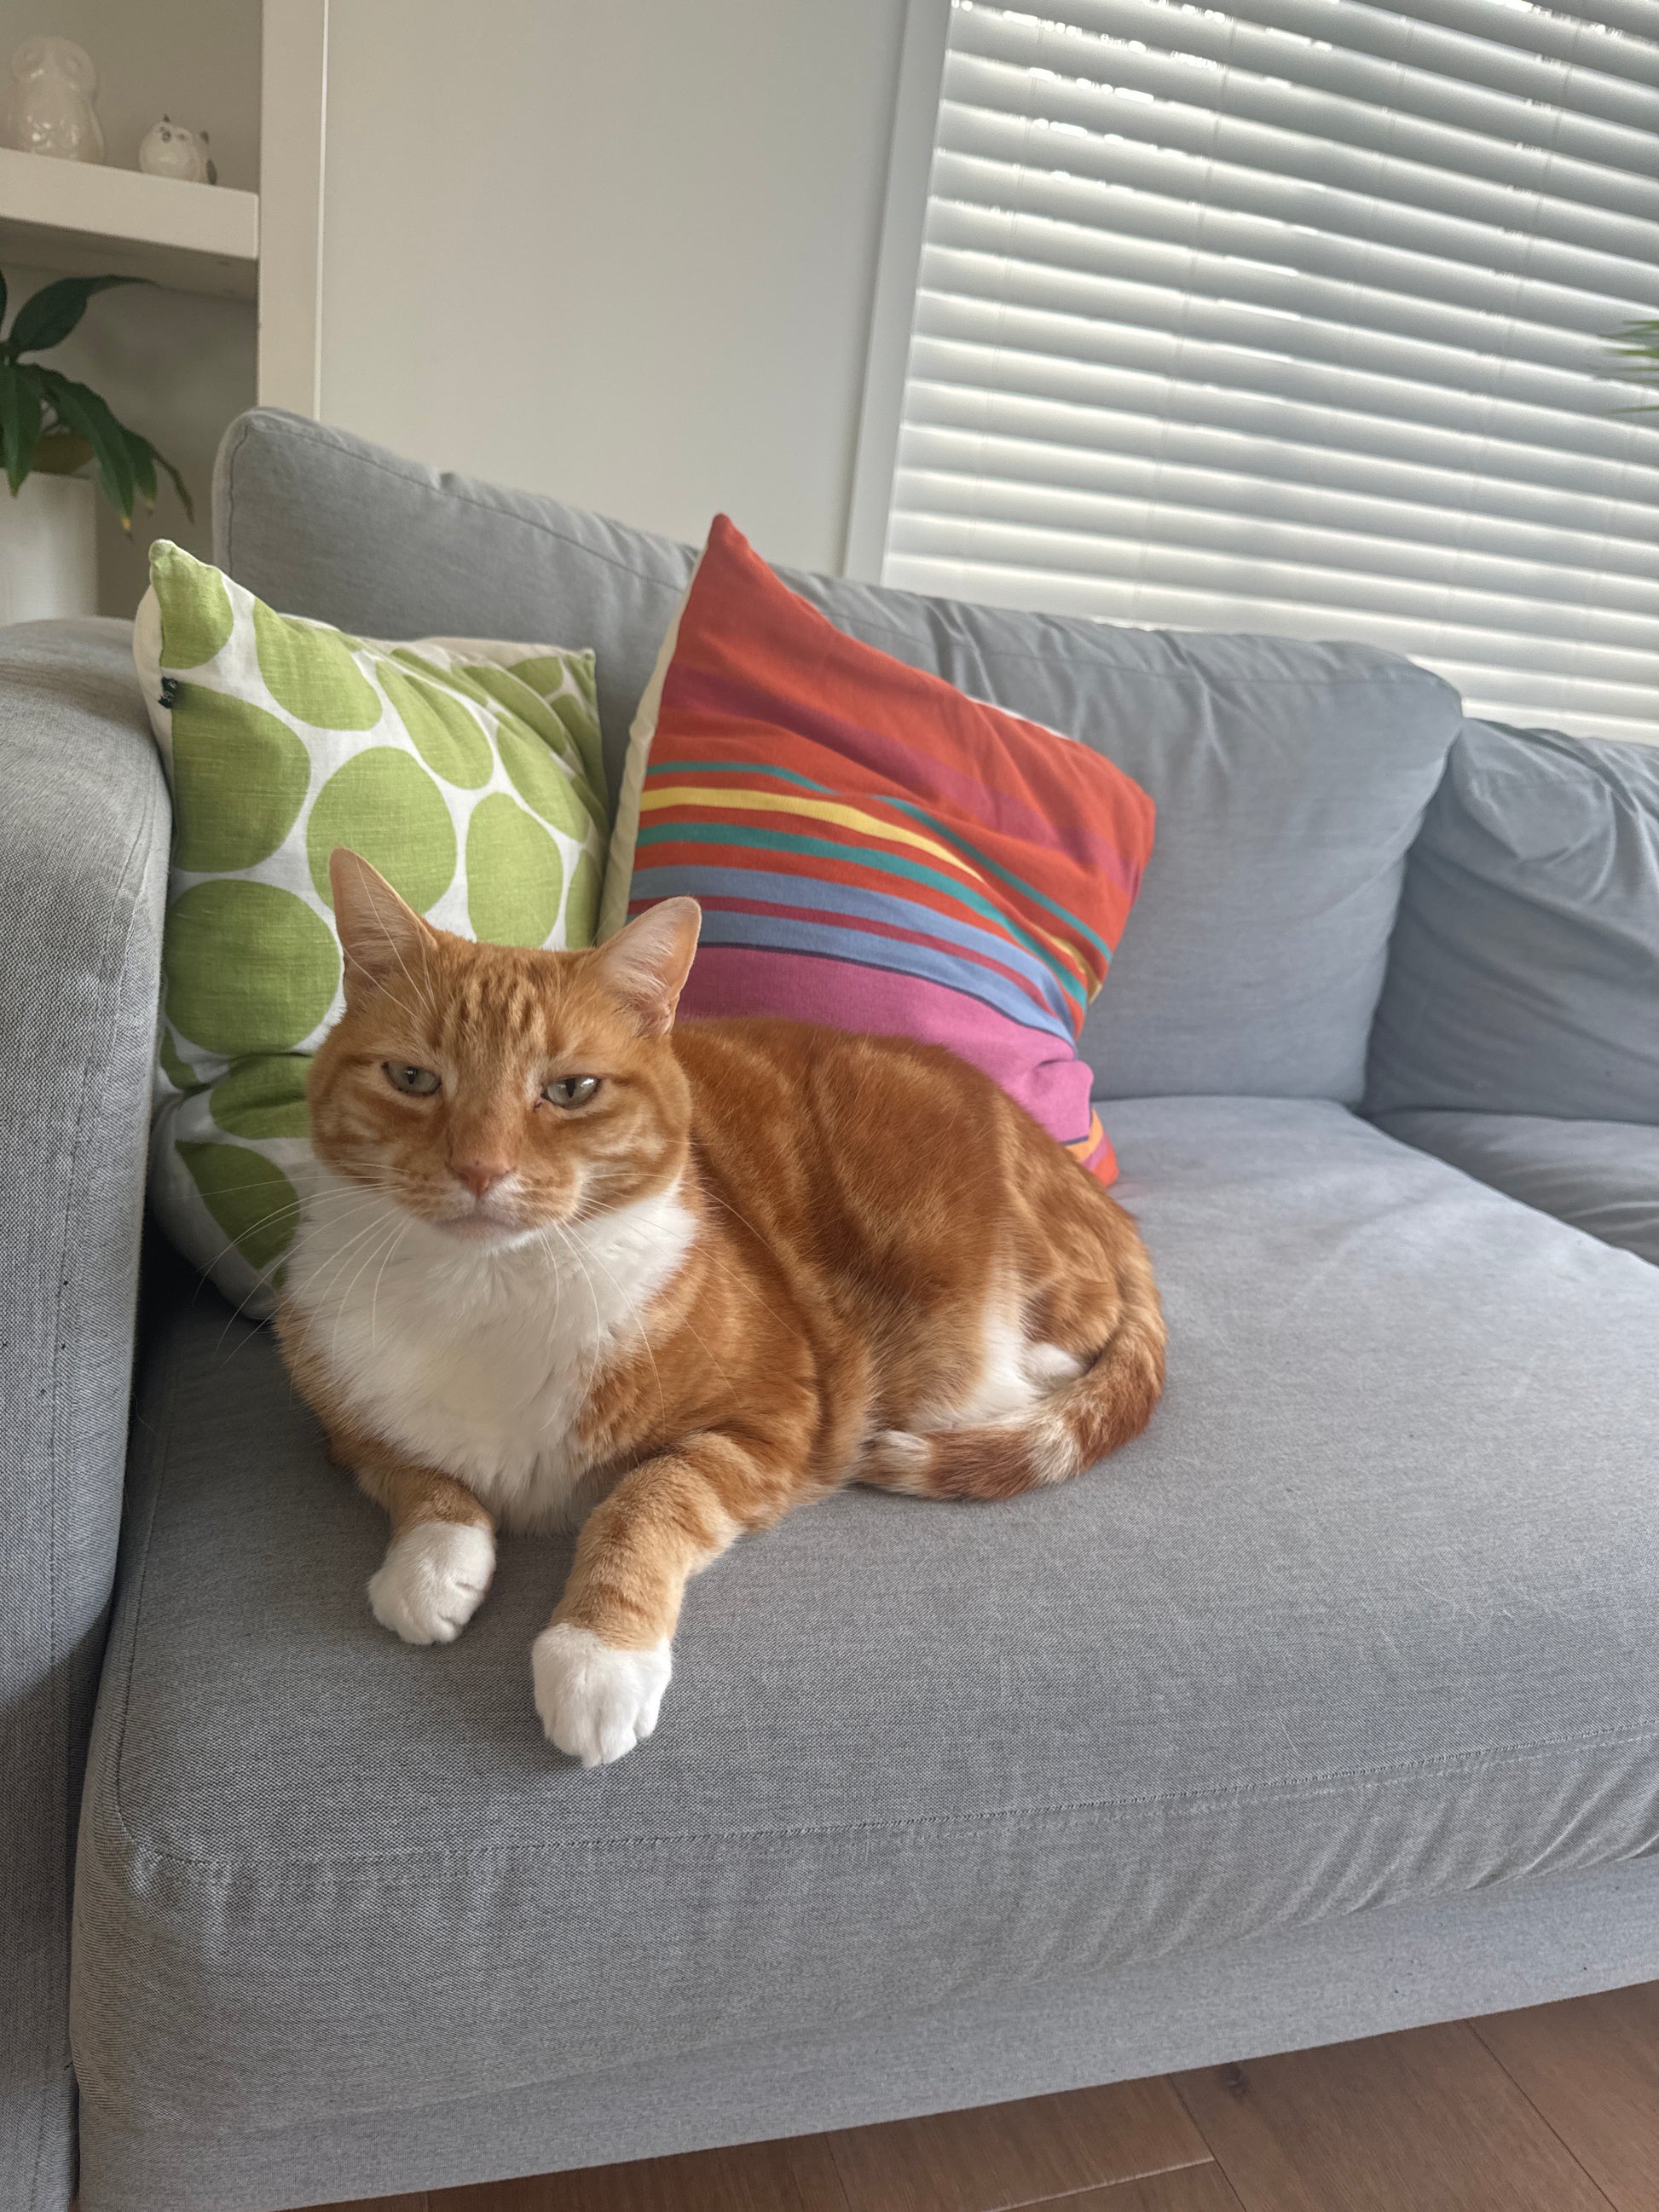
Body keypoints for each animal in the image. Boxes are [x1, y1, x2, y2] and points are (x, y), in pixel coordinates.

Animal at [277, 849, 1166, 1766]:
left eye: (571, 1089)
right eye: (412, 1078)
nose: (480, 1169)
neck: (491, 1291)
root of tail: (1076, 1174)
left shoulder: (771, 1421)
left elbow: (644, 1501)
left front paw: (597, 1656)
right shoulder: (341, 1419)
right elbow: (413, 1473)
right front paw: (430, 1563)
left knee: (1073, 1333)